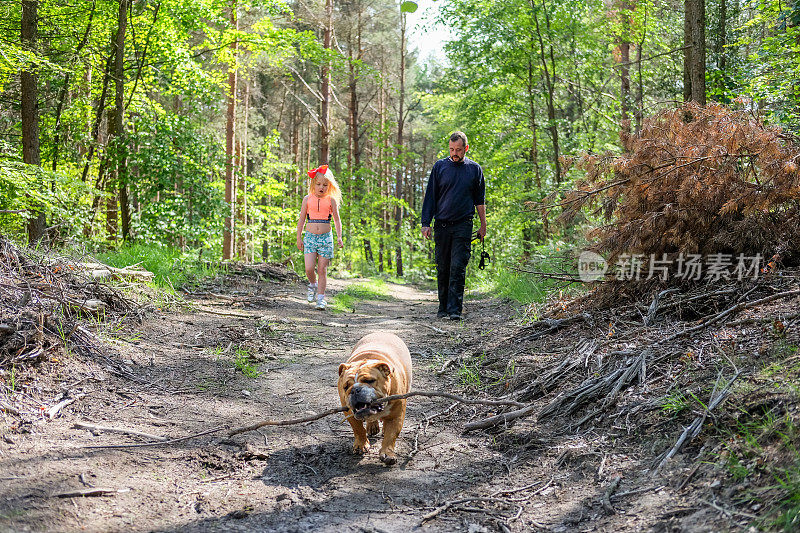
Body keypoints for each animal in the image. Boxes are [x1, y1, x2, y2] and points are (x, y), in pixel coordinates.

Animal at [338, 330, 412, 464]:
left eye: (370, 381)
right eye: (346, 387)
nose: (355, 390)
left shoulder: (396, 415)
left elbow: (391, 435)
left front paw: (388, 453)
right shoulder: (348, 412)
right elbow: (358, 429)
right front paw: (361, 445)